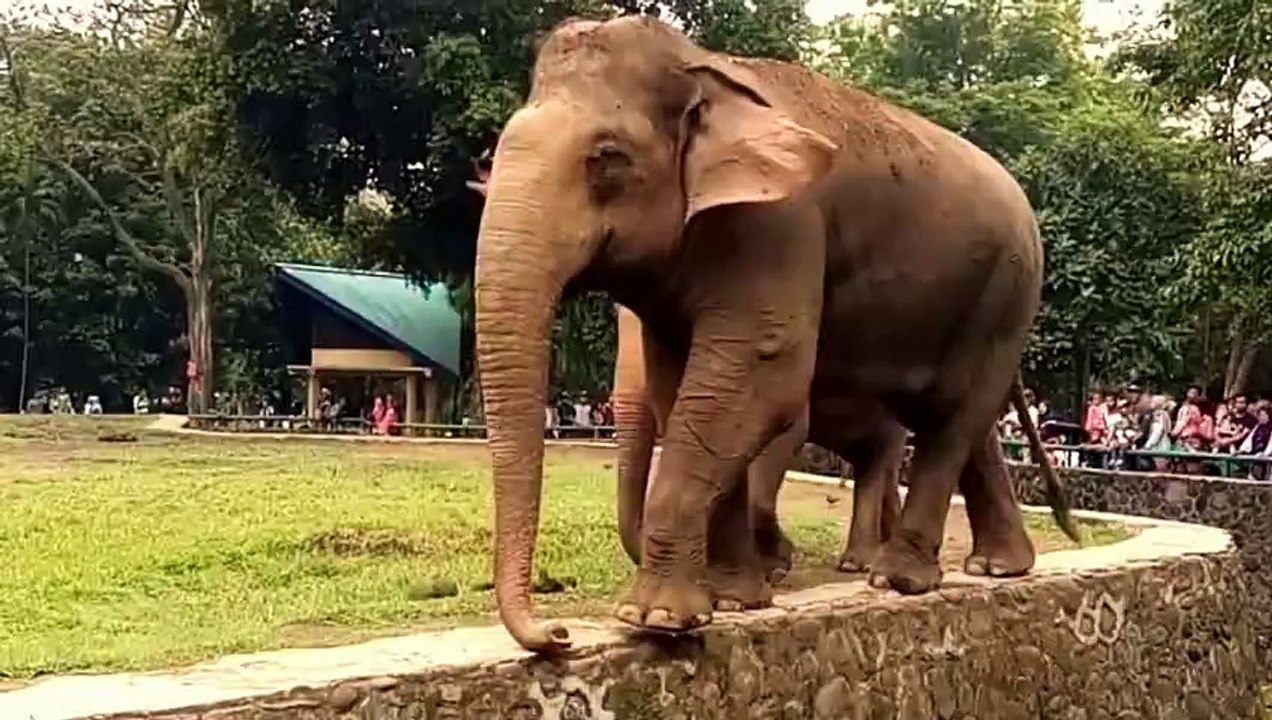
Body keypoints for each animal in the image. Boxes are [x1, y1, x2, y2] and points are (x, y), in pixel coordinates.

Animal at [472, 15, 1077, 652]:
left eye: (607, 159)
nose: (558, 633)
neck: (705, 67)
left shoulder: (781, 222)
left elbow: (761, 379)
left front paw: (655, 618)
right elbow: (684, 388)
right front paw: (734, 599)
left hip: (1007, 293)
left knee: (951, 418)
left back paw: (896, 579)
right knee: (966, 423)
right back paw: (997, 567)